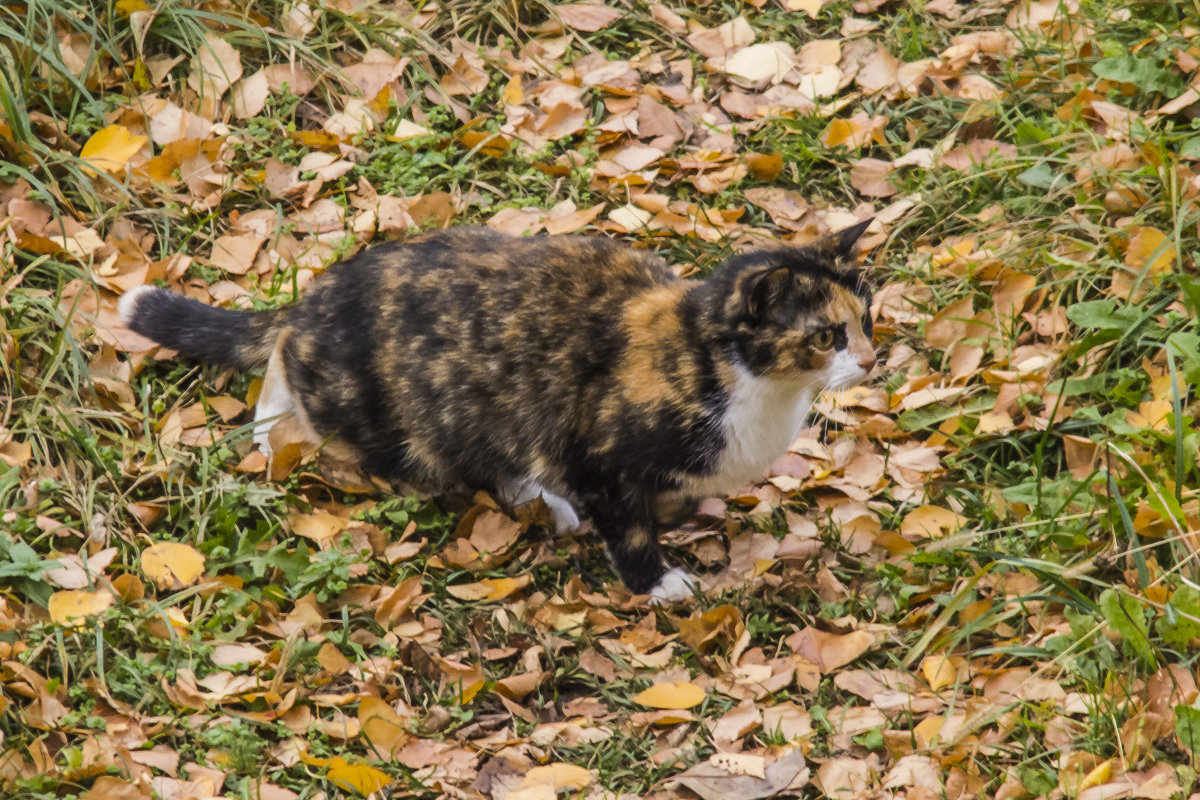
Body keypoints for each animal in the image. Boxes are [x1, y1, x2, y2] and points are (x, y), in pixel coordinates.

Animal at [119, 221, 873, 597]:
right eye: (825, 336)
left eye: (867, 317)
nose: (873, 359)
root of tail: (314, 299)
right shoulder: (599, 455)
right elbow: (628, 526)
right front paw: (659, 583)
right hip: (402, 417)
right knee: (293, 369)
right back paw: (273, 425)